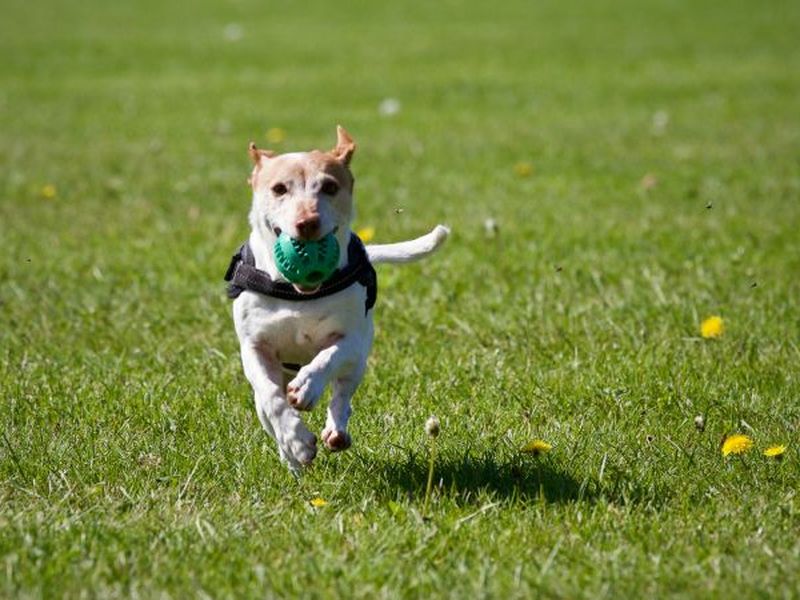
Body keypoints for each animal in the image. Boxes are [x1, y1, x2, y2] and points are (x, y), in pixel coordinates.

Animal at [225, 127, 450, 474]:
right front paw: (296, 441)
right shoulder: (254, 347)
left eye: (329, 187)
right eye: (279, 189)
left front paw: (307, 386)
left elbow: (329, 357)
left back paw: (336, 430)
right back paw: (291, 459)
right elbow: (272, 399)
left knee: (342, 394)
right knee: (268, 409)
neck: (298, 293)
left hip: (358, 363)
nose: (307, 222)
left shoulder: (353, 340)